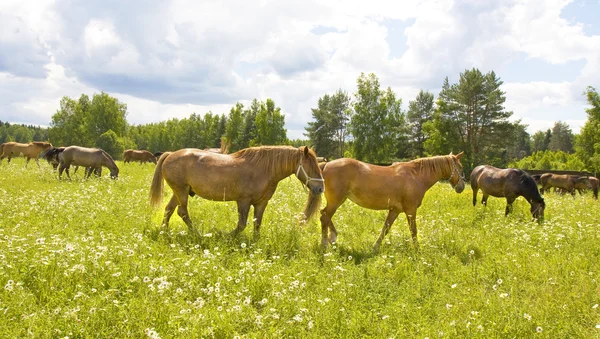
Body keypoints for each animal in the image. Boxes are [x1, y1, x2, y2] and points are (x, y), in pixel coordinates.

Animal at [150, 145, 326, 238]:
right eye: (311, 166)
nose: (320, 188)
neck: (264, 170)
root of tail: (170, 154)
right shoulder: (243, 201)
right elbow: (241, 224)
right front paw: (227, 236)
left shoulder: (261, 203)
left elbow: (257, 224)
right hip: (181, 191)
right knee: (182, 212)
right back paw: (197, 234)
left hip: (179, 192)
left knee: (169, 209)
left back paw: (164, 231)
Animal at [316, 153, 466, 251]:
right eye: (461, 167)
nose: (462, 187)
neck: (416, 175)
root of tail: (326, 164)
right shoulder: (411, 210)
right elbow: (413, 230)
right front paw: (417, 250)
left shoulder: (395, 210)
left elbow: (385, 229)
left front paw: (375, 248)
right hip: (336, 201)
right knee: (324, 217)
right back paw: (325, 243)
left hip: (338, 200)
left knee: (324, 215)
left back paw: (332, 239)